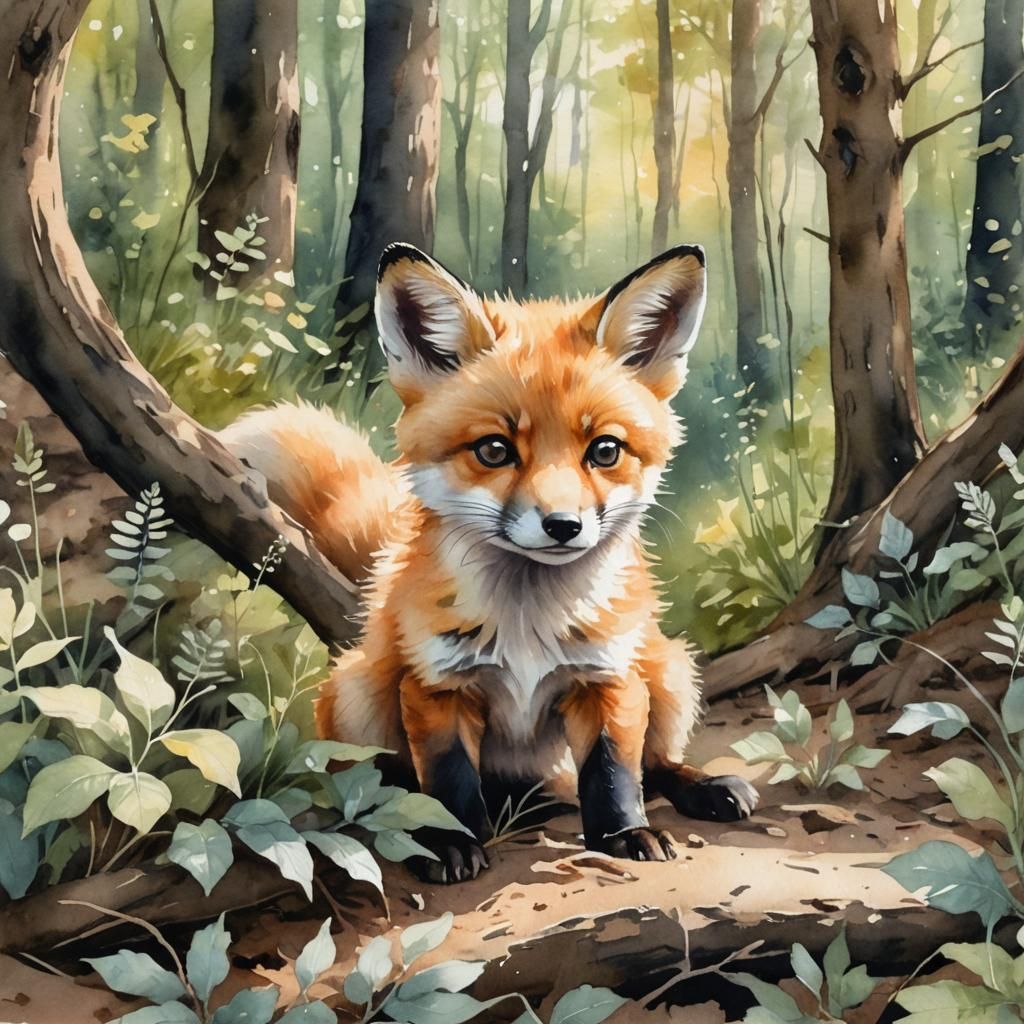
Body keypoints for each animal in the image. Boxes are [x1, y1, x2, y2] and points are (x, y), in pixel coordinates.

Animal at [223, 242, 757, 884]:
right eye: (495, 450)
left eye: (605, 450)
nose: (563, 526)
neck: (528, 623)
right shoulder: (435, 686)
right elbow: (448, 784)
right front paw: (451, 843)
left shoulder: (609, 677)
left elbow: (614, 774)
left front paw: (623, 835)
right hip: (355, 694)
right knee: (383, 777)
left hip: (670, 671)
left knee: (654, 764)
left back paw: (702, 786)